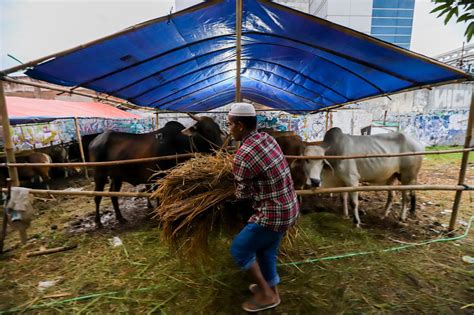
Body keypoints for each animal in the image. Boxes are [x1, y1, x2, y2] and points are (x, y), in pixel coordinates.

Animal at [88, 115, 224, 228]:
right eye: (207, 130)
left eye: (218, 129)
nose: (222, 149)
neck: (179, 142)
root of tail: (95, 141)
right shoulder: (159, 177)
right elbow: (160, 197)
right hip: (99, 175)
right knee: (97, 196)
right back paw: (98, 222)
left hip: (117, 176)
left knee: (113, 194)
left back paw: (120, 217)